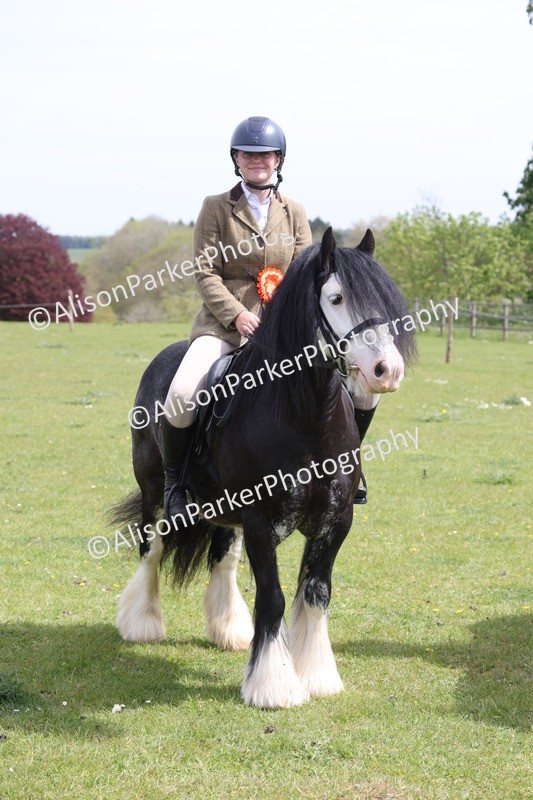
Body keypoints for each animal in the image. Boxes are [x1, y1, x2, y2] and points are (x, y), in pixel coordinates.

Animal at [111, 227, 417, 708]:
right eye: (335, 298)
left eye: (385, 301)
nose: (387, 370)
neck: (306, 417)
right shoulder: (260, 523)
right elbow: (272, 599)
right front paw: (274, 686)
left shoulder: (336, 522)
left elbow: (316, 593)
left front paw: (317, 675)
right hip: (153, 490)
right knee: (152, 547)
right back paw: (142, 624)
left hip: (223, 509)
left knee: (222, 557)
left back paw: (230, 630)